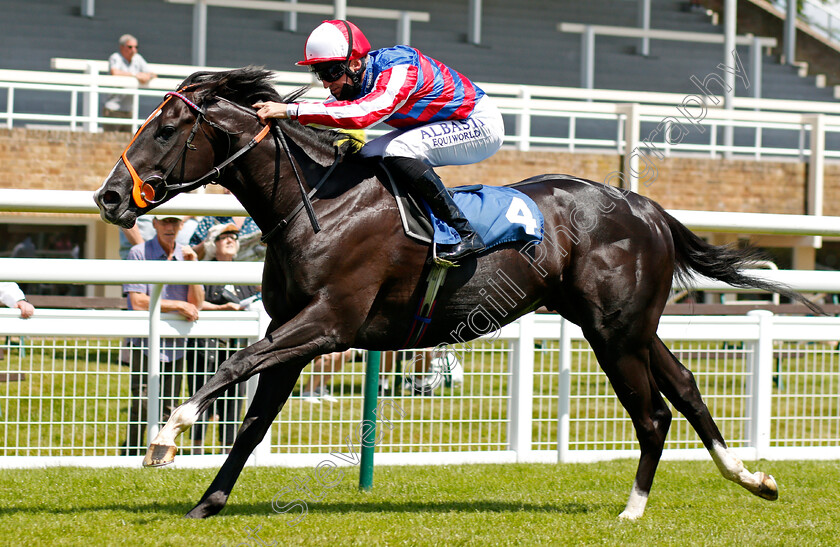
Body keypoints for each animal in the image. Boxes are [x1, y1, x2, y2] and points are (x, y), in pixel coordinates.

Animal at [93, 68, 812, 524]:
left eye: (166, 129)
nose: (107, 197)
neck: (318, 203)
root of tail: (647, 208)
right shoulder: (295, 331)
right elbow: (251, 419)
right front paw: (207, 502)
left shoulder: (327, 323)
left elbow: (232, 365)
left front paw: (165, 437)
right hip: (629, 324)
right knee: (686, 388)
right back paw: (754, 478)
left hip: (614, 330)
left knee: (654, 411)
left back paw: (633, 509)